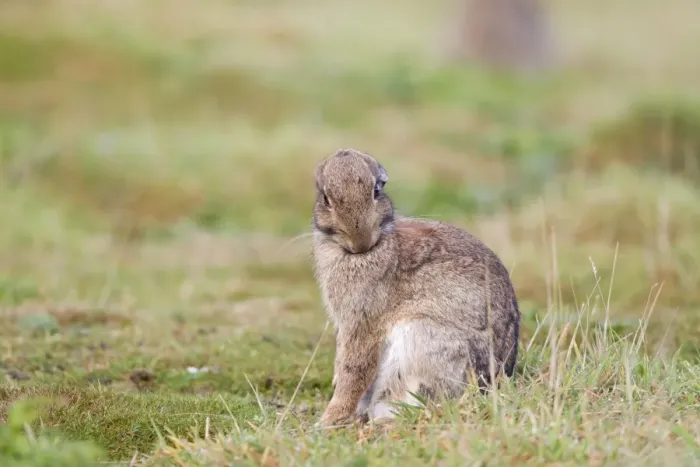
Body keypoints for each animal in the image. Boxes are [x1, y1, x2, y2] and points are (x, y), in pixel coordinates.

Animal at [312, 148, 520, 428]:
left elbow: (354, 369)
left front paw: (328, 420)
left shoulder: (363, 322)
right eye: (326, 198)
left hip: (421, 342)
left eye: (376, 190)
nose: (360, 241)